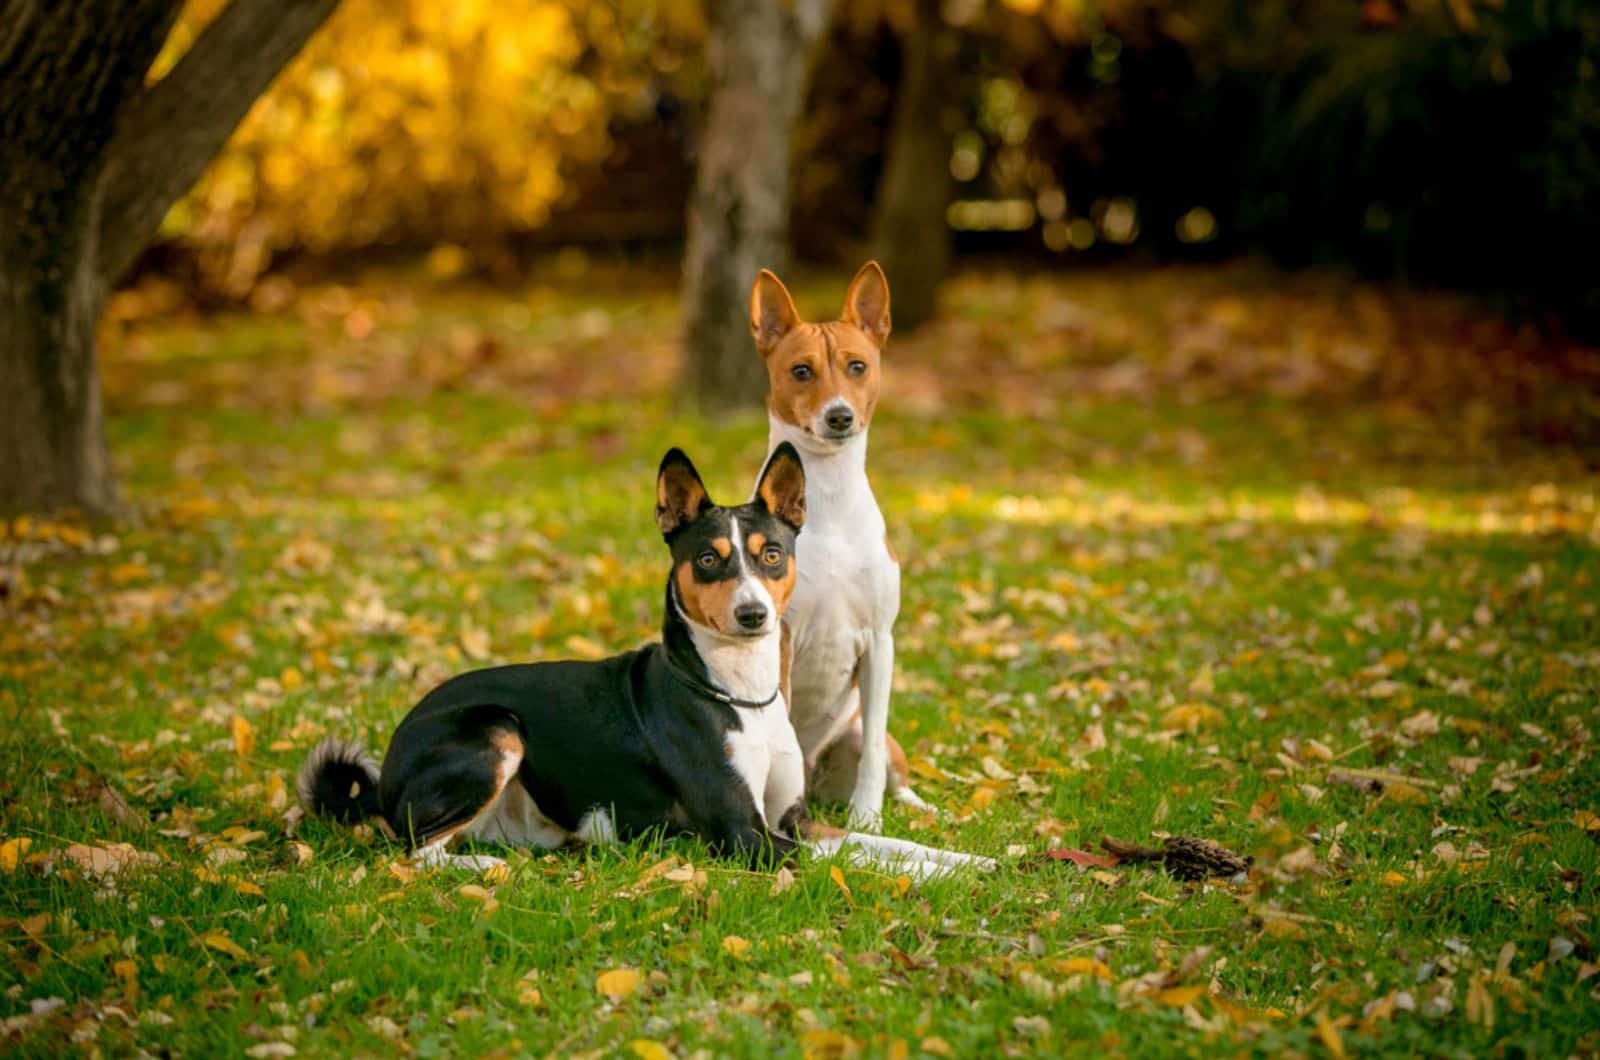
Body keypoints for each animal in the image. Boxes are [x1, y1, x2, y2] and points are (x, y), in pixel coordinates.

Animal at [299, 445, 985, 877]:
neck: (740, 693)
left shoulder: (796, 820)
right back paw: (484, 866)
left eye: (771, 555)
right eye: (707, 560)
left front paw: (975, 861)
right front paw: (946, 882)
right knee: (414, 850)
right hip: (496, 730)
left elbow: (890, 843)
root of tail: (386, 772)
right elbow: (866, 860)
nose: (752, 615)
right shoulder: (747, 836)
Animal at [752, 264, 934, 832]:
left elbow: (873, 751)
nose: (839, 417)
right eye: (801, 371)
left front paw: (866, 820)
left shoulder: (879, 641)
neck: (827, 499)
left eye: (857, 366)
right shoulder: (782, 639)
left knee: (894, 771)